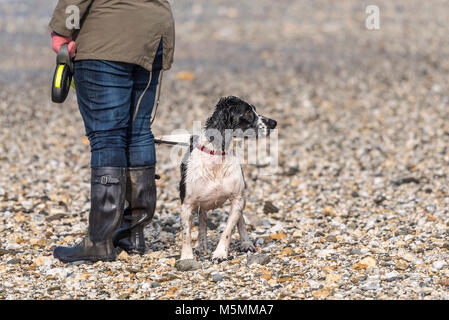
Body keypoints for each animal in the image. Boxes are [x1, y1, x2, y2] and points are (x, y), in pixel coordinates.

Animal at [178, 96, 276, 262]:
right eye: (248, 112)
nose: (274, 123)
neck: (217, 157)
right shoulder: (187, 204)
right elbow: (186, 233)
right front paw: (186, 256)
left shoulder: (237, 199)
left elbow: (228, 229)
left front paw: (220, 253)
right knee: (202, 219)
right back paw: (202, 245)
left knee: (240, 221)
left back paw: (246, 243)